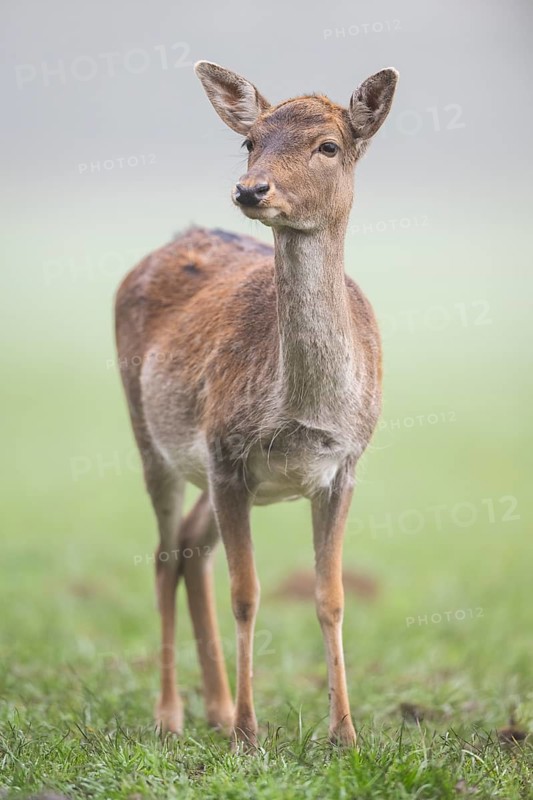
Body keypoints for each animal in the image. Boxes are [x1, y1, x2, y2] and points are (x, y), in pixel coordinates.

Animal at [114, 60, 398, 749]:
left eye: (328, 146)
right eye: (250, 140)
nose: (250, 190)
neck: (304, 415)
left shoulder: (344, 467)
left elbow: (331, 597)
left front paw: (345, 735)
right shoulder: (226, 453)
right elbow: (246, 593)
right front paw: (249, 732)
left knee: (192, 546)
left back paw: (214, 707)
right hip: (155, 438)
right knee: (165, 552)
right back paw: (173, 714)